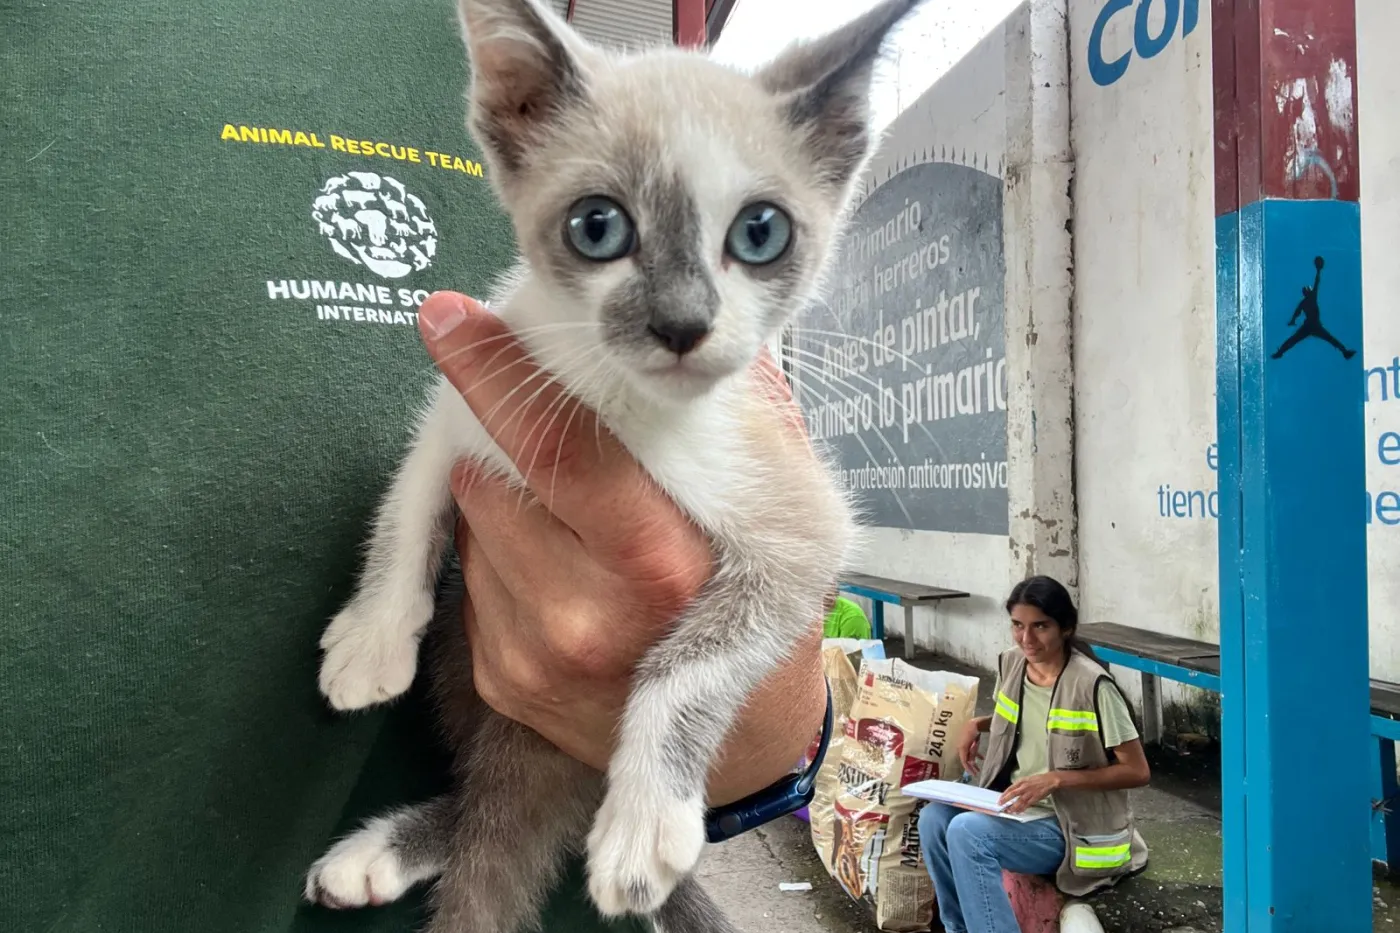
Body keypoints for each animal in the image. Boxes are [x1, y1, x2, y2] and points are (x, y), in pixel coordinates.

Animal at [301, 0, 924, 924]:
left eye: (761, 232)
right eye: (598, 226)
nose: (681, 323)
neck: (616, 404)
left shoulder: (802, 525)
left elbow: (687, 668)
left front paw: (643, 828)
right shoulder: (471, 396)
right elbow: (408, 503)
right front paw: (372, 641)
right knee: (491, 793)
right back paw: (384, 847)